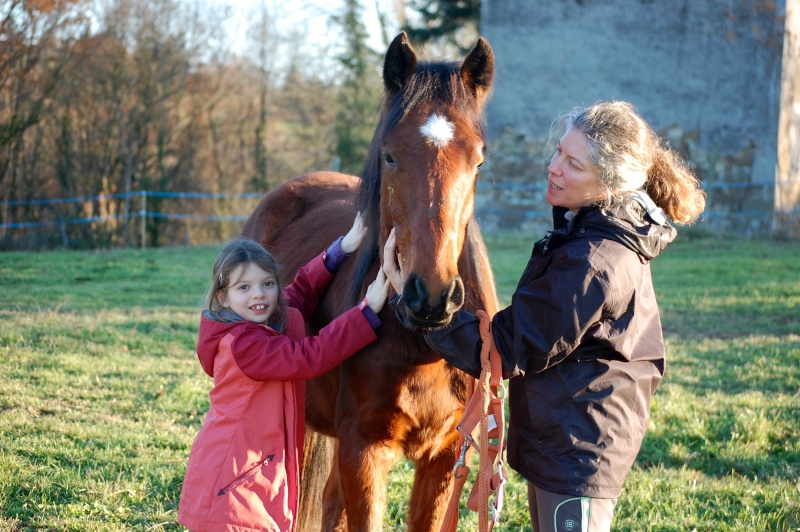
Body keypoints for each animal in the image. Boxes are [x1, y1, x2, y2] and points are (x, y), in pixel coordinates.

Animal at [241, 34, 496, 532]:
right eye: (389, 155)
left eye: (478, 161)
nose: (430, 297)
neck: (421, 346)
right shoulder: (363, 450)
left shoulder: (446, 455)